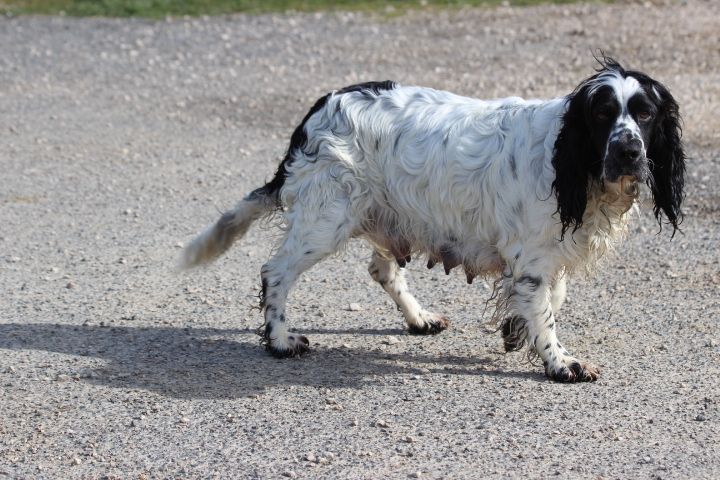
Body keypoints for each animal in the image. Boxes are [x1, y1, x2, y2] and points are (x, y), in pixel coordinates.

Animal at [181, 57, 688, 382]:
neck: (569, 158)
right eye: (603, 114)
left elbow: (548, 299)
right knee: (277, 271)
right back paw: (281, 340)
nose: (628, 151)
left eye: (645, 113)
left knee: (381, 269)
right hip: (325, 218)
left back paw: (419, 318)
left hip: (385, 215)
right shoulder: (531, 256)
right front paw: (561, 364)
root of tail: (319, 108)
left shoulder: (543, 257)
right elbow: (545, 311)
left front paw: (515, 331)